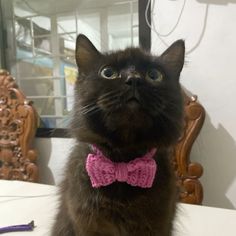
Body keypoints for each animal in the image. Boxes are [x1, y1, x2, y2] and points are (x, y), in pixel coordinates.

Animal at [51, 34, 184, 235]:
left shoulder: (157, 224)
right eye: (108, 72)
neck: (123, 159)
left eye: (154, 75)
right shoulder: (88, 225)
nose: (134, 79)